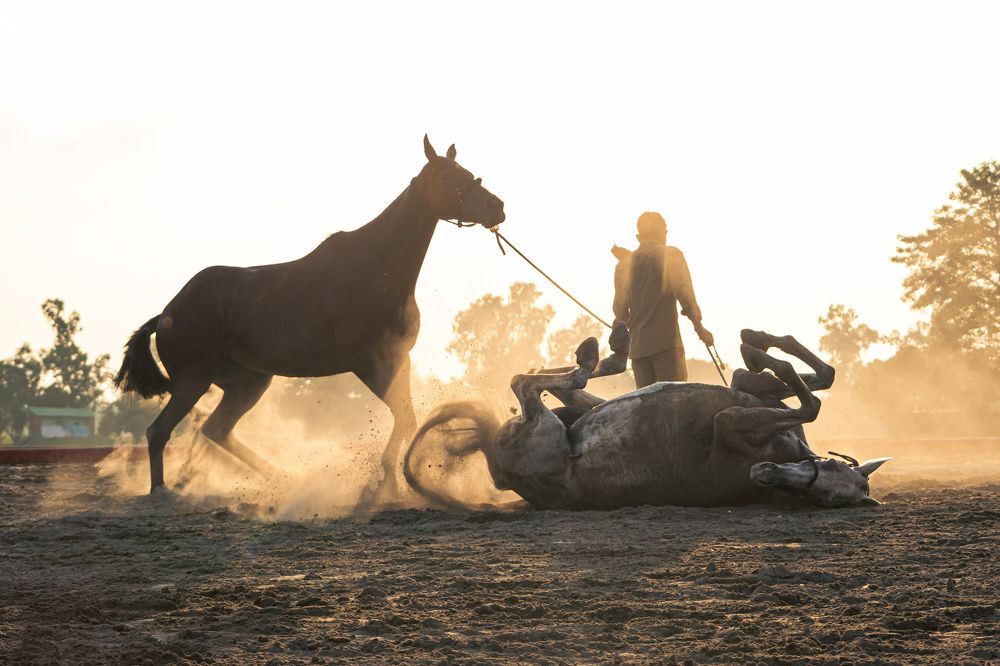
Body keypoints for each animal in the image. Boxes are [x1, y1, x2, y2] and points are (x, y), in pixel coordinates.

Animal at [114, 136, 505, 496]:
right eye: (445, 175)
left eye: (466, 171)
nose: (496, 206)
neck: (376, 266)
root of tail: (167, 313)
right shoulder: (370, 363)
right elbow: (406, 418)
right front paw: (385, 485)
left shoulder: (398, 359)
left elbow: (408, 418)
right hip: (193, 381)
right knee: (159, 431)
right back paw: (162, 492)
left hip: (247, 384)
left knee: (217, 430)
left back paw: (284, 481)